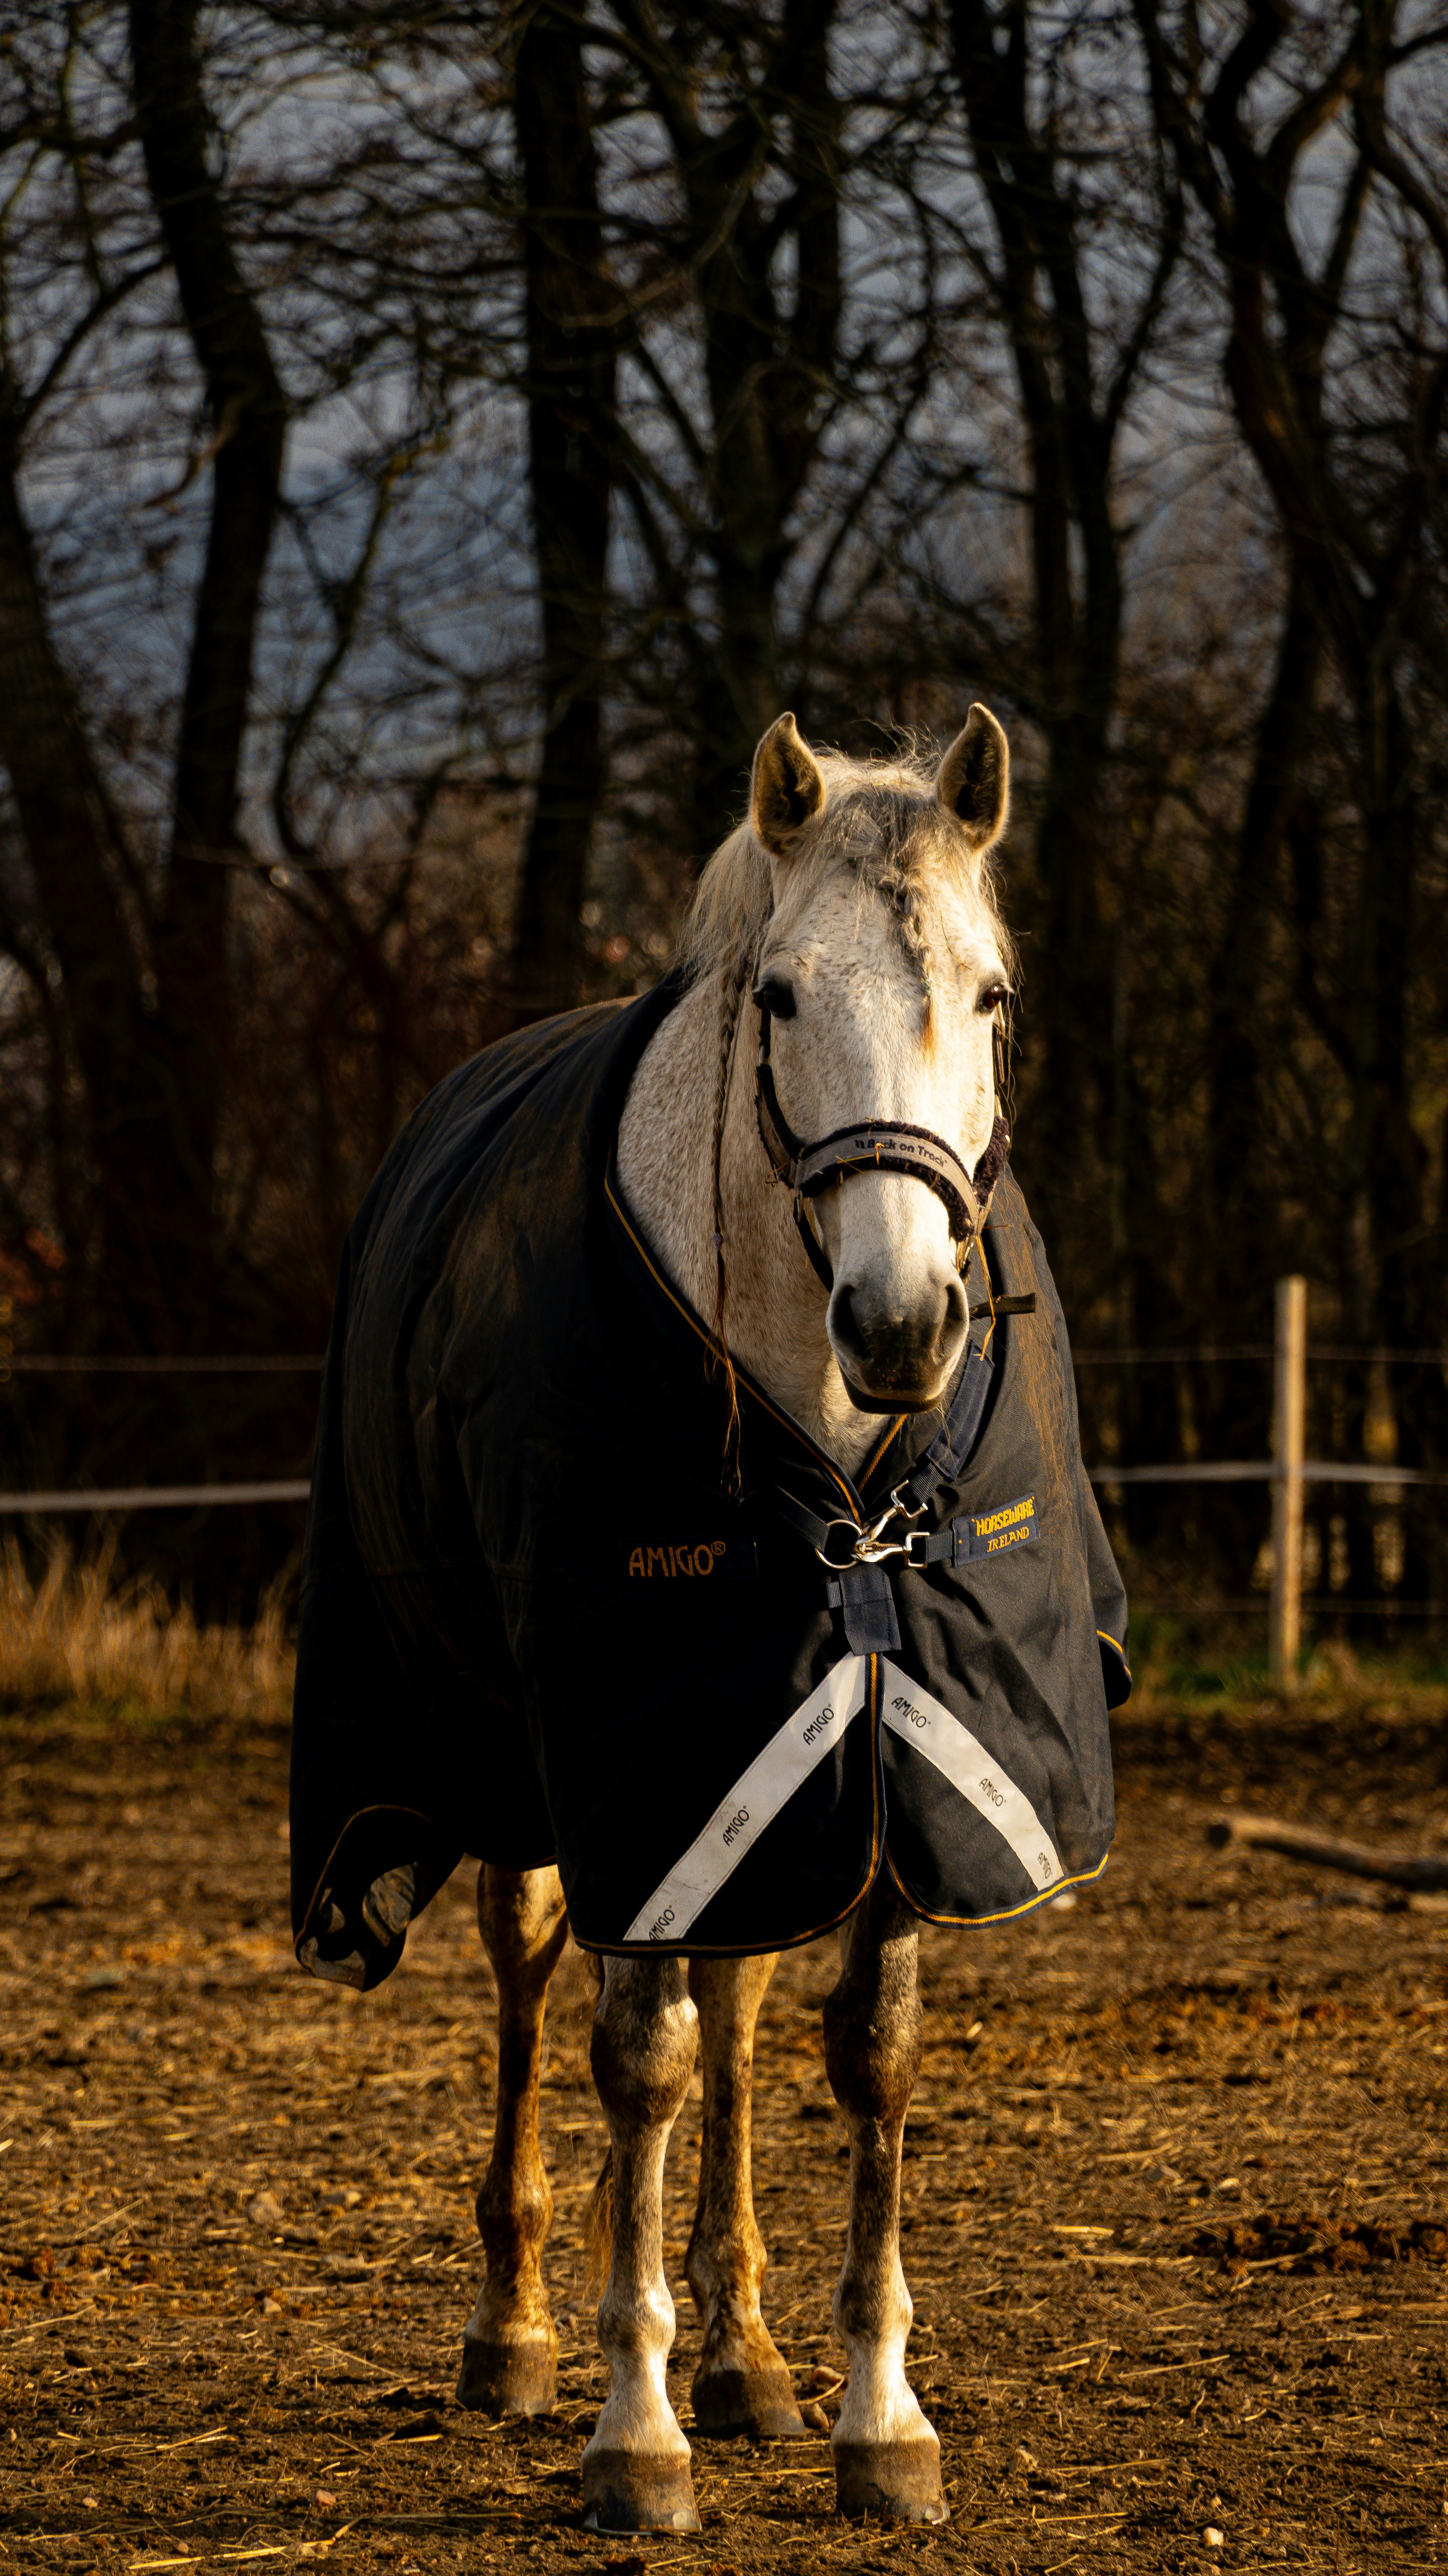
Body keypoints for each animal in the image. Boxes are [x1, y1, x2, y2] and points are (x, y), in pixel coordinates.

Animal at [289, 704, 1127, 2534]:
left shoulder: (881, 1747)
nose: (905, 1322)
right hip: (528, 1773)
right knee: (534, 1982)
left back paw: (746, 2355)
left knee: (739, 2009)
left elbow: (863, 2055)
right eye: (785, 996)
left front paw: (879, 2419)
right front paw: (634, 2431)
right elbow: (640, 2062)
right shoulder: (634, 1755)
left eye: (993, 995)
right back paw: (518, 2331)